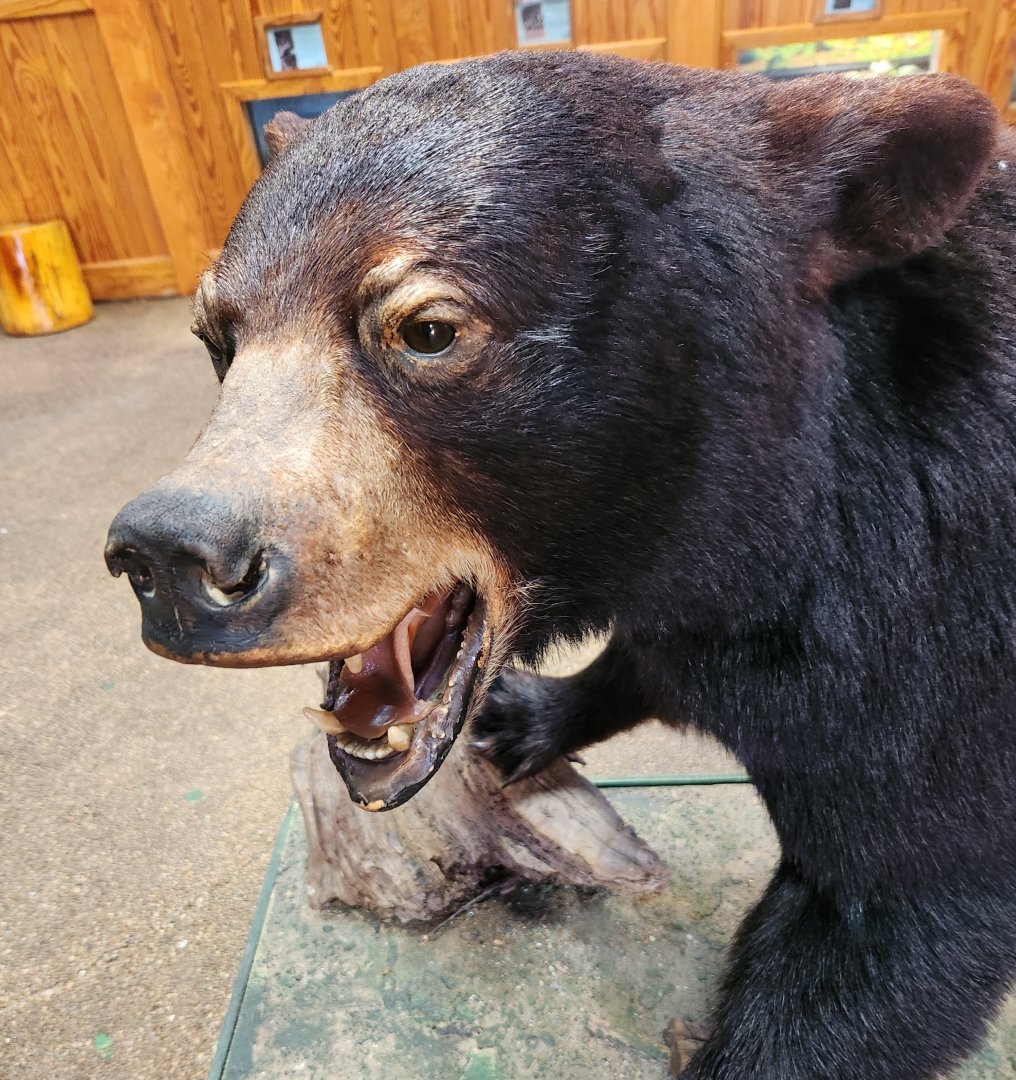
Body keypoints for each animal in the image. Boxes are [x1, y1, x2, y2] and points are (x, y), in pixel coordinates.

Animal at [105, 50, 1016, 1079]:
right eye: (218, 337)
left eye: (425, 329)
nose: (172, 556)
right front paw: (523, 716)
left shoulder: (938, 633)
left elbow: (897, 911)